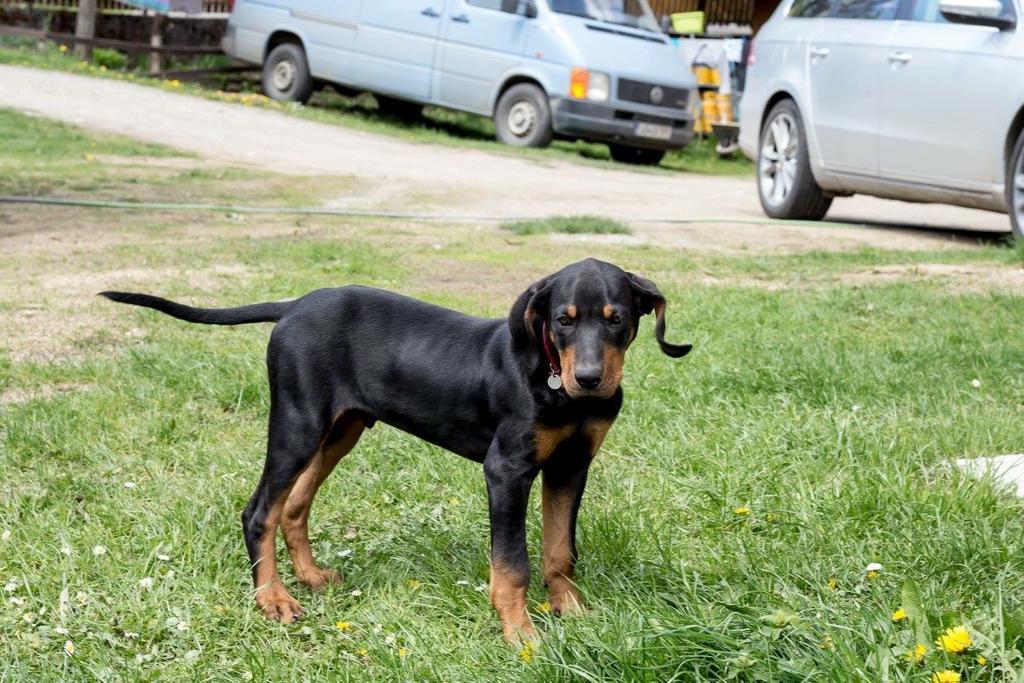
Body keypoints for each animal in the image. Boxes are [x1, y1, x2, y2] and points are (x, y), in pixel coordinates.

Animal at [99, 259, 692, 643]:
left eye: (618, 318)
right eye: (563, 319)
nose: (589, 381)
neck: (554, 385)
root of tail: (294, 305)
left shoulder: (572, 466)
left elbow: (560, 551)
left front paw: (571, 612)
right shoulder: (507, 471)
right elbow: (512, 562)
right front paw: (521, 633)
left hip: (341, 429)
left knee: (294, 505)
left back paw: (310, 578)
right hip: (297, 422)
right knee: (259, 510)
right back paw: (273, 598)